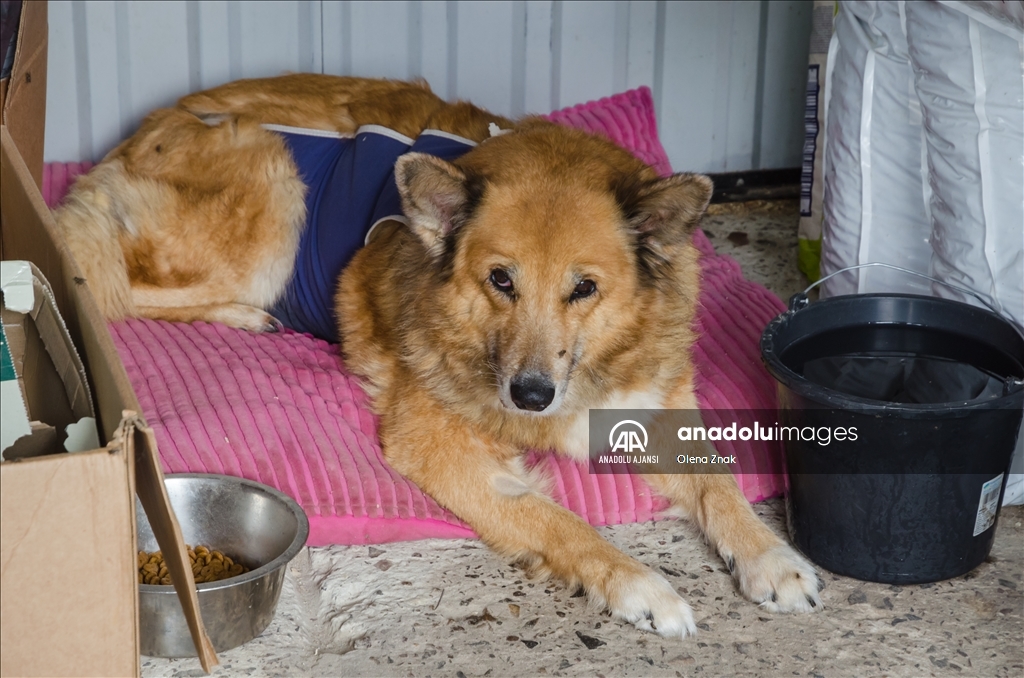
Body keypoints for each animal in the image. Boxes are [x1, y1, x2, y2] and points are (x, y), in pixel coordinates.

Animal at [56, 74, 823, 639]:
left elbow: (719, 483)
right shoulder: (439, 448)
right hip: (270, 192)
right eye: (500, 280)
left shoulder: (657, 411)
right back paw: (244, 315)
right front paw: (642, 585)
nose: (531, 396)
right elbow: (562, 522)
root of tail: (136, 138)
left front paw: (772, 557)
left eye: (585, 288)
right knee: (107, 284)